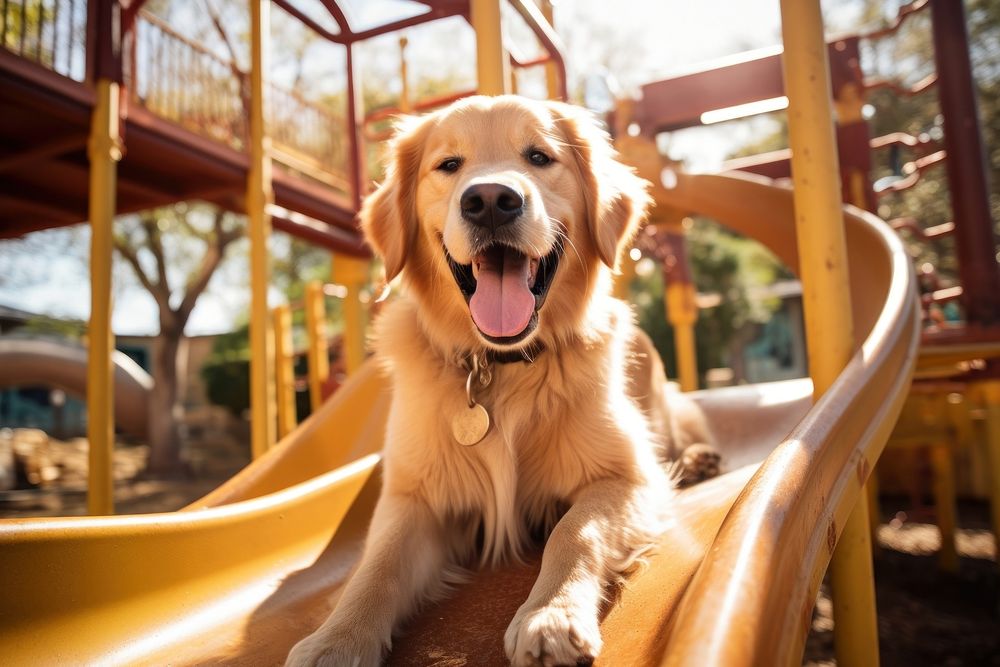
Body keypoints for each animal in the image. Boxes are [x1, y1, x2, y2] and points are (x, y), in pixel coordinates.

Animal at [286, 95, 716, 667]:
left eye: (539, 156)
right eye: (448, 165)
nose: (491, 200)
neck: (499, 365)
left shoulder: (627, 477)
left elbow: (574, 531)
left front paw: (551, 615)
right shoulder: (414, 496)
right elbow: (377, 565)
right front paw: (336, 639)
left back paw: (699, 459)